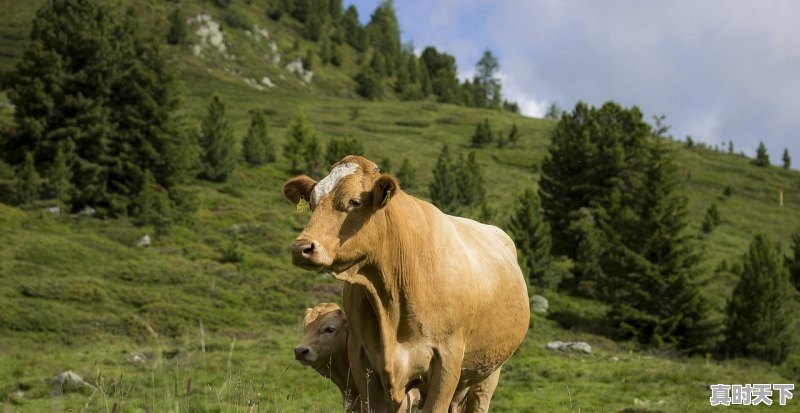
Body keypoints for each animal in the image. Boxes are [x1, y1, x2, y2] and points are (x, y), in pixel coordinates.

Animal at [284, 155, 528, 412]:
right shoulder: (362, 362)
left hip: (488, 373)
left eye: (354, 201)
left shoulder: (447, 361)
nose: (301, 247)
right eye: (312, 203)